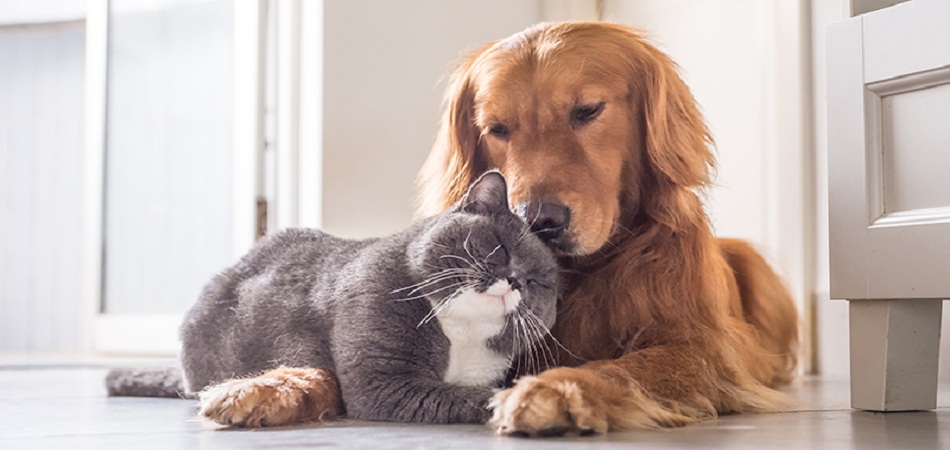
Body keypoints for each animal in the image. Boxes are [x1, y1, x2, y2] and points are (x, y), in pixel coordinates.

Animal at [108, 171, 560, 428]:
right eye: (499, 246)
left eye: (539, 282)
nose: (515, 281)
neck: (461, 333)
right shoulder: (383, 383)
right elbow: (464, 396)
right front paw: (522, 401)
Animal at [420, 22, 800, 436]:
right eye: (497, 129)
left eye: (588, 110)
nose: (538, 220)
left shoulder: (702, 348)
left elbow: (625, 367)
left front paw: (556, 389)